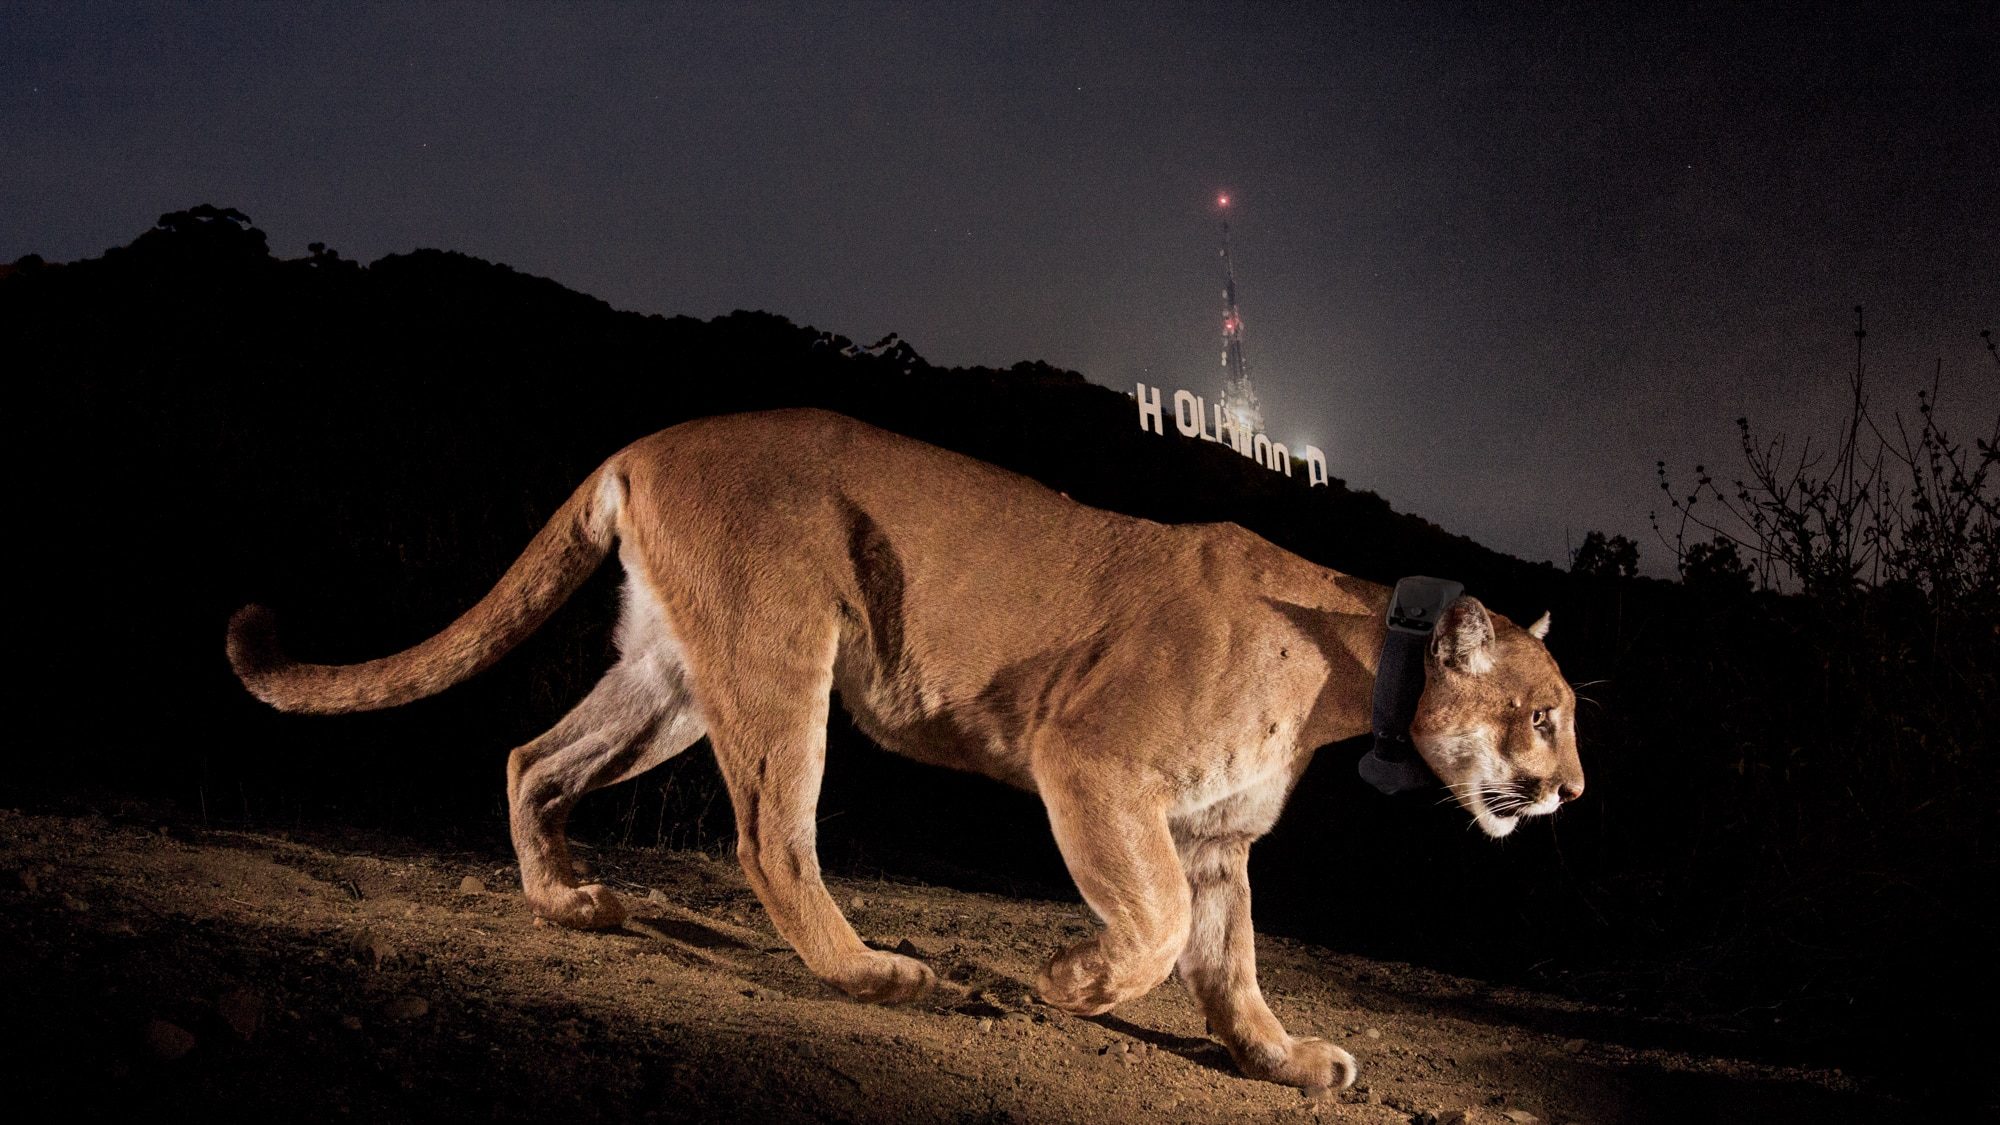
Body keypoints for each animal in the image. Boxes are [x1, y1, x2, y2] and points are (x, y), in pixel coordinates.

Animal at [230, 404, 1576, 1088]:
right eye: (1545, 713)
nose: (1568, 790)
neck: (1352, 666)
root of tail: (648, 440)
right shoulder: (1091, 763)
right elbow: (1149, 931)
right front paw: (1069, 982)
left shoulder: (1214, 836)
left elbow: (1228, 964)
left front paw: (1285, 1058)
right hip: (782, 652)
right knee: (771, 836)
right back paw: (879, 974)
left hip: (672, 678)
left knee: (532, 758)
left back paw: (569, 902)